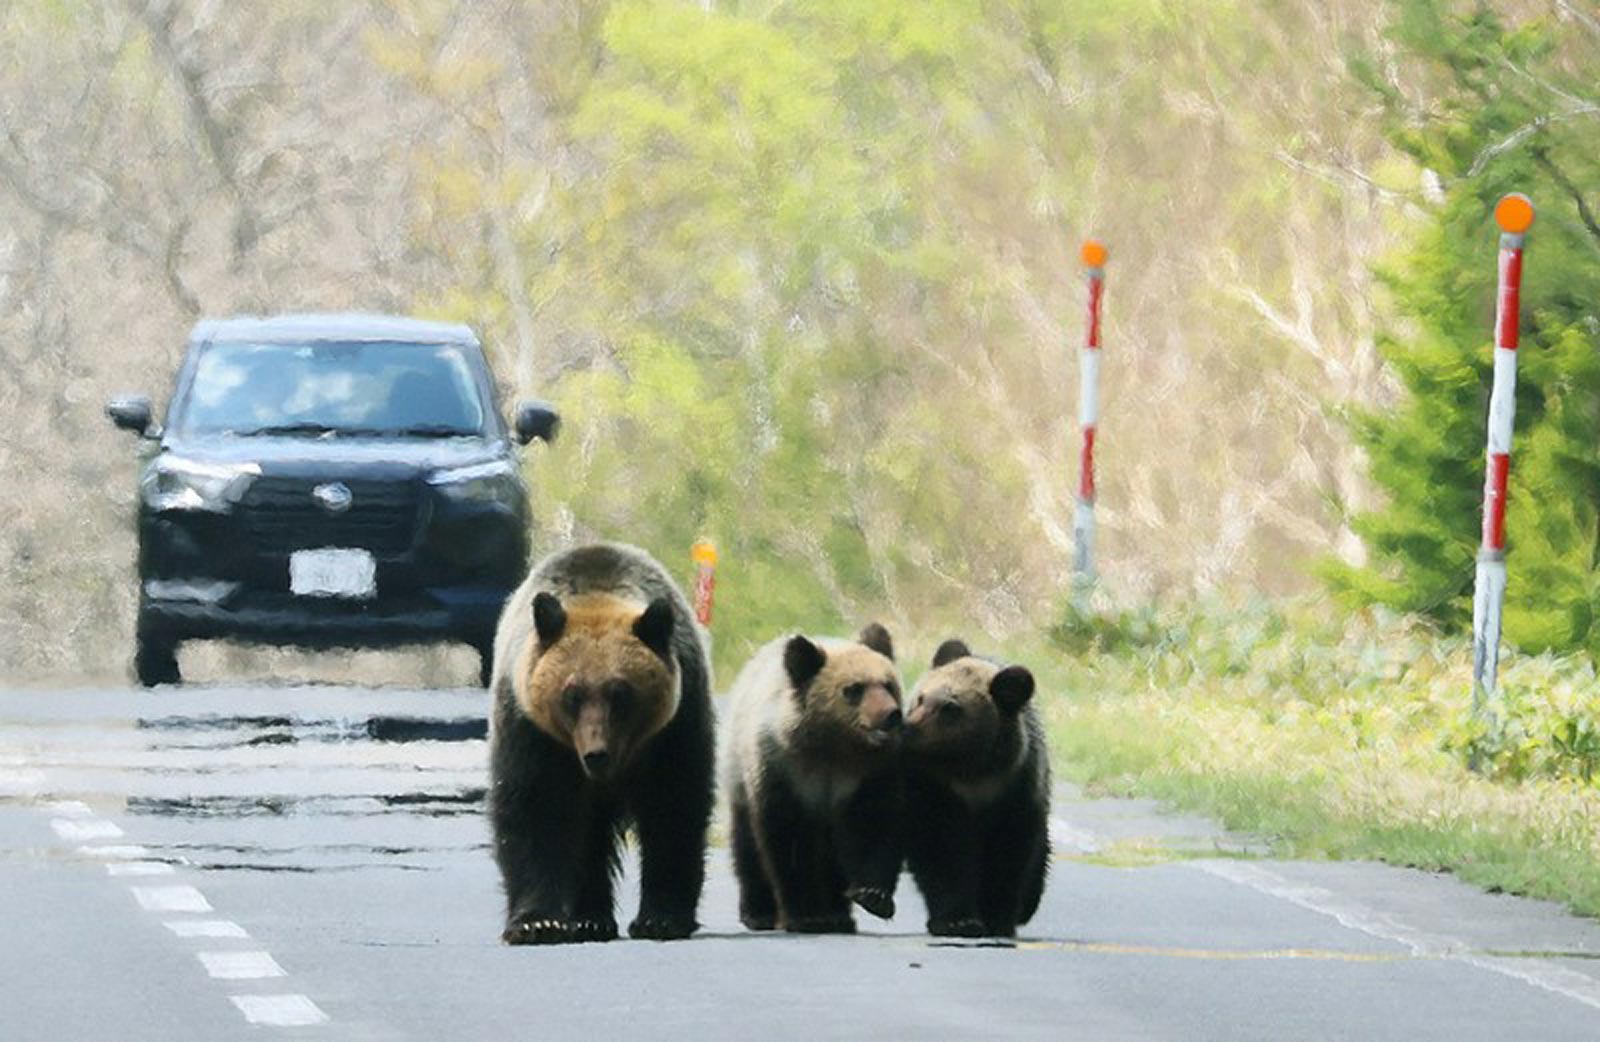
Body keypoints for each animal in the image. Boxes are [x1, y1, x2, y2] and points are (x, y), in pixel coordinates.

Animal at [486, 547, 713, 947]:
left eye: (621, 693)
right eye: (572, 693)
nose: (596, 755)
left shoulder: (675, 728)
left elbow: (673, 808)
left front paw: (661, 918)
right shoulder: (532, 730)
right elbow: (533, 808)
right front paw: (536, 923)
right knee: (585, 835)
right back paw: (589, 919)